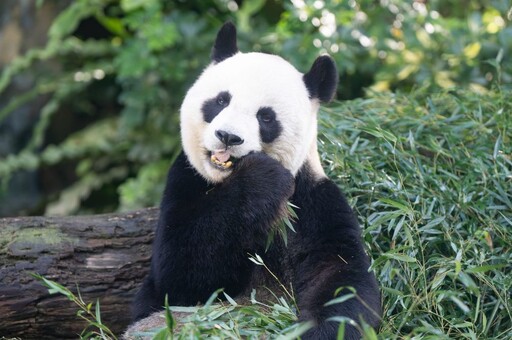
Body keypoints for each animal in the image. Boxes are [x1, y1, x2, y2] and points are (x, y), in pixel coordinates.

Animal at [132, 22, 380, 338]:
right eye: (221, 100)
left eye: (266, 117)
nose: (228, 136)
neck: (224, 179)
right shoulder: (185, 179)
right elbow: (177, 277)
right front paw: (262, 179)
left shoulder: (312, 199)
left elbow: (341, 273)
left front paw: (318, 329)